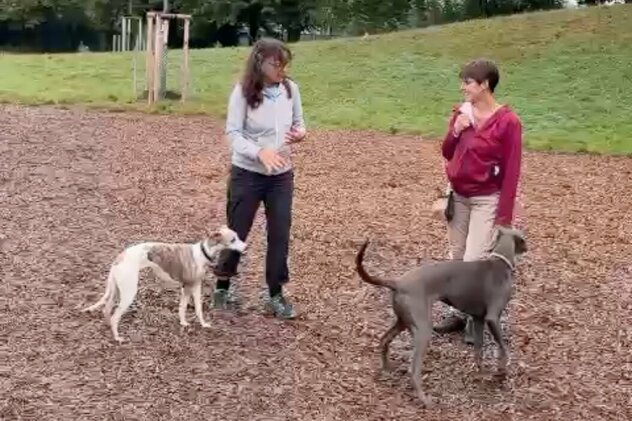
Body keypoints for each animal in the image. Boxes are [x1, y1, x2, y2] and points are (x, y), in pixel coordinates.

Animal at [83, 225, 249, 340]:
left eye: (237, 236)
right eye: (233, 239)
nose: (246, 246)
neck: (203, 253)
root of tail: (119, 257)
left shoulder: (196, 286)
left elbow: (198, 309)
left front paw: (203, 324)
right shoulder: (187, 287)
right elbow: (183, 307)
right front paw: (183, 323)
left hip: (117, 289)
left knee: (107, 310)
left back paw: (108, 328)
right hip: (129, 292)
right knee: (114, 315)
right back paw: (117, 337)